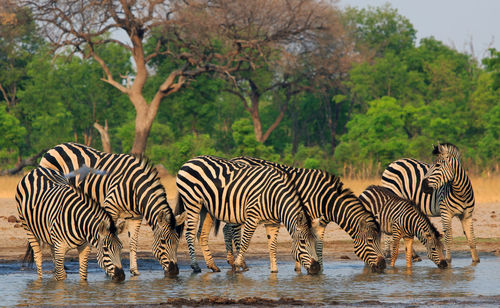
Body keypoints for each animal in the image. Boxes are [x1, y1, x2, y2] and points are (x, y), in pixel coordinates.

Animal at [37, 143, 186, 276]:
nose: (174, 271)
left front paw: (134, 271)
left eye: (177, 242)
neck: (134, 187)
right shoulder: (110, 208)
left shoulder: (136, 217)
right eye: (163, 242)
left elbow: (133, 243)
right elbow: (109, 236)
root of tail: (56, 147)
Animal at [176, 156, 320, 274]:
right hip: (192, 202)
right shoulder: (253, 216)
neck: (275, 197)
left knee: (202, 235)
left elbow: (272, 245)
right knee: (189, 234)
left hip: (206, 208)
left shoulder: (273, 222)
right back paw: (195, 266)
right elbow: (245, 242)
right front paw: (239, 265)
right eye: (303, 242)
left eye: (314, 241)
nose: (316, 268)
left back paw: (213, 266)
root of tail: (190, 160)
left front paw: (274, 271)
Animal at [199, 158, 386, 274]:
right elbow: (305, 240)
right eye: (371, 241)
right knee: (231, 230)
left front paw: (314, 266)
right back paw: (236, 262)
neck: (325, 199)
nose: (383, 265)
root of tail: (235, 158)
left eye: (379, 240)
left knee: (225, 229)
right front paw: (304, 266)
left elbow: (318, 244)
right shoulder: (305, 215)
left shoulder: (319, 222)